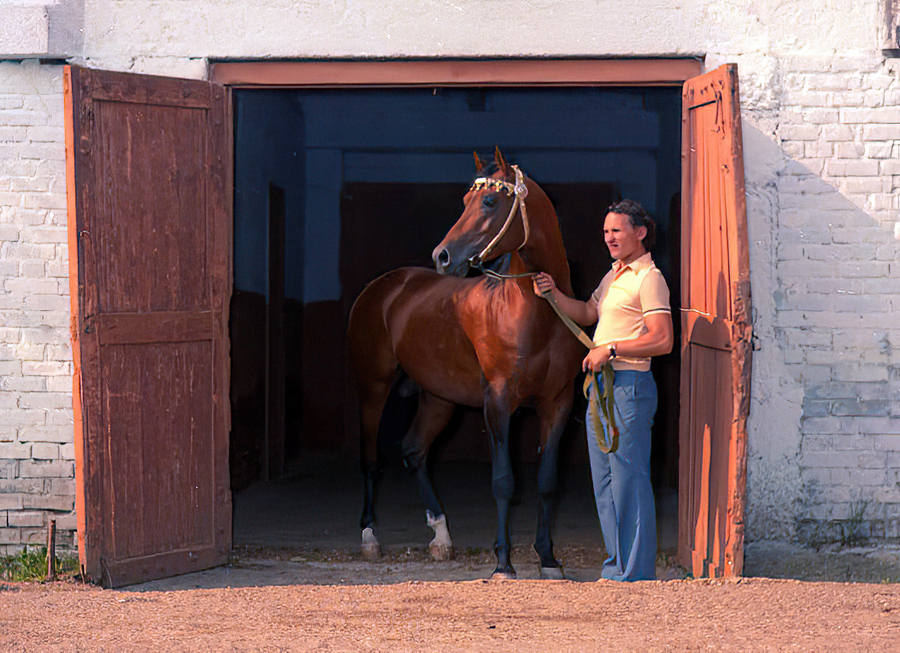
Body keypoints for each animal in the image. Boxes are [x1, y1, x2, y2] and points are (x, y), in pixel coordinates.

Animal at [344, 146, 584, 576]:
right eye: (464, 201)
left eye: (489, 201)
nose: (442, 256)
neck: (536, 313)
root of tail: (382, 287)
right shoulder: (499, 402)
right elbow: (503, 481)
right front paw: (503, 563)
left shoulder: (557, 403)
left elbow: (547, 482)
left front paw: (548, 558)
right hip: (373, 387)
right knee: (371, 459)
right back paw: (370, 537)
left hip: (439, 397)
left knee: (414, 451)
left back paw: (441, 537)